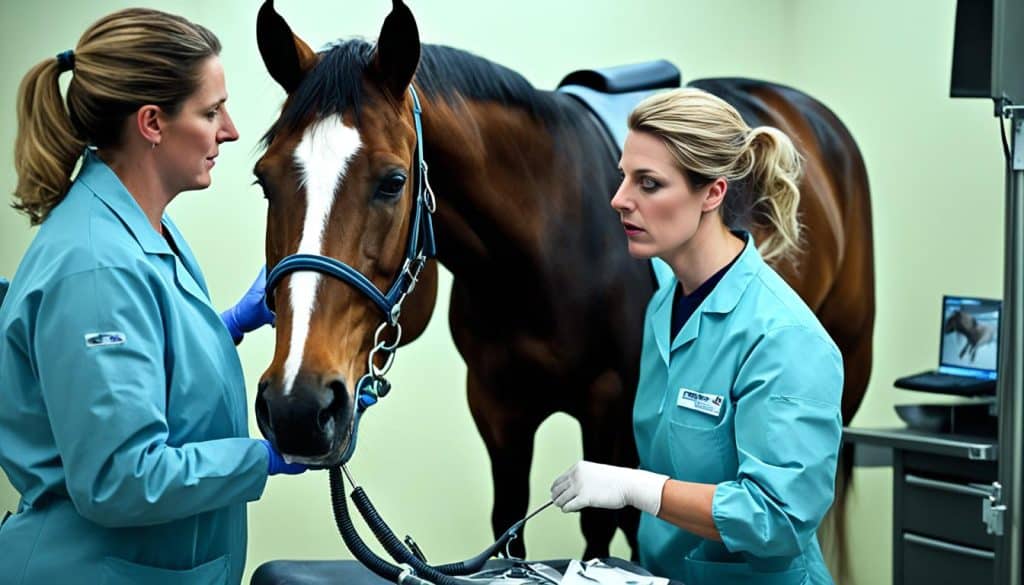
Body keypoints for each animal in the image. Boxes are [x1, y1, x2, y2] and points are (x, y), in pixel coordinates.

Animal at [251, 0, 875, 561]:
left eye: (392, 181)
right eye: (263, 181)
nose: (297, 407)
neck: (542, 250)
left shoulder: (609, 412)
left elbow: (601, 527)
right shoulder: (498, 409)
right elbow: (508, 528)